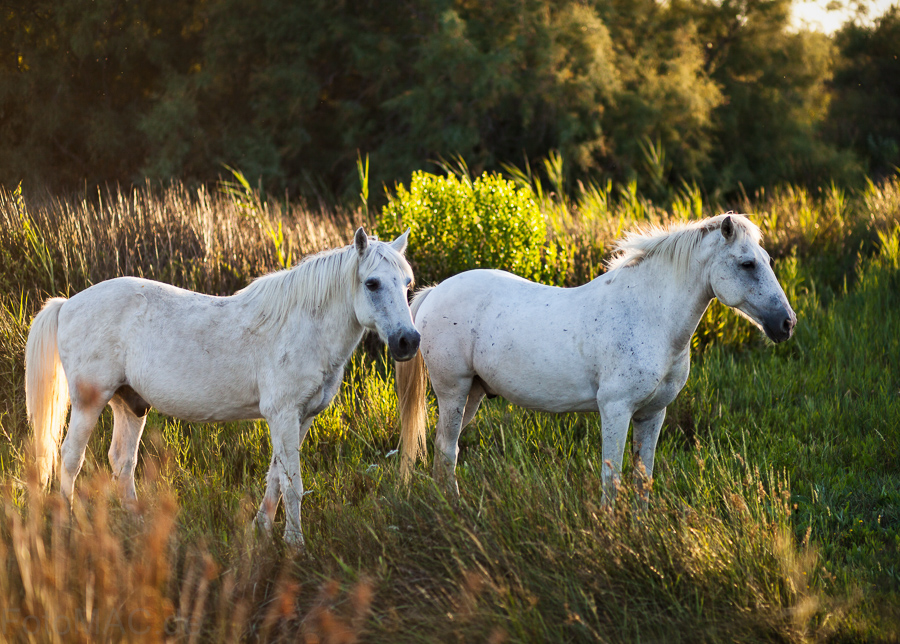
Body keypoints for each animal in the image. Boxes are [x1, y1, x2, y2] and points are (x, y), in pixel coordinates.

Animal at [26, 229, 420, 544]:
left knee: (122, 462)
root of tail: (68, 304)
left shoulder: (300, 418)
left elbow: (275, 479)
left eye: (407, 284)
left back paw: (136, 525)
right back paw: (66, 526)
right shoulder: (283, 415)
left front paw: (261, 532)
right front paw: (296, 545)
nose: (408, 341)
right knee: (70, 459)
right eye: (372, 283)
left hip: (130, 404)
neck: (302, 327)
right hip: (88, 403)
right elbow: (292, 485)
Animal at [398, 215, 800, 504]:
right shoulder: (616, 409)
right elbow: (613, 477)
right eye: (747, 264)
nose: (787, 323)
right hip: (453, 391)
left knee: (443, 449)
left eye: (766, 261)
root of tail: (434, 291)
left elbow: (642, 477)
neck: (648, 315)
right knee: (446, 450)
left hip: (474, 394)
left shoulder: (652, 414)